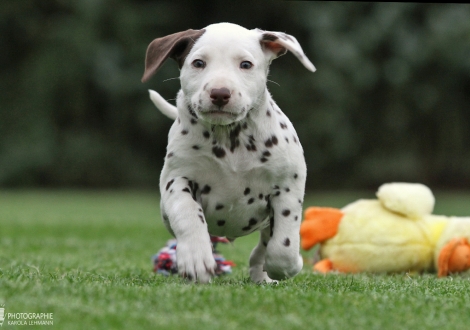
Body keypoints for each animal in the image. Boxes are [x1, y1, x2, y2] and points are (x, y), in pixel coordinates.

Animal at [142, 22, 316, 284]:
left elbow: (282, 248)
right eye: (198, 63)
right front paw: (195, 257)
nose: (220, 93)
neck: (230, 139)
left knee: (266, 243)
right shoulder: (177, 180)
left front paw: (288, 265)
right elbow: (188, 214)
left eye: (245, 64)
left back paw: (261, 273)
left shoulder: (287, 188)